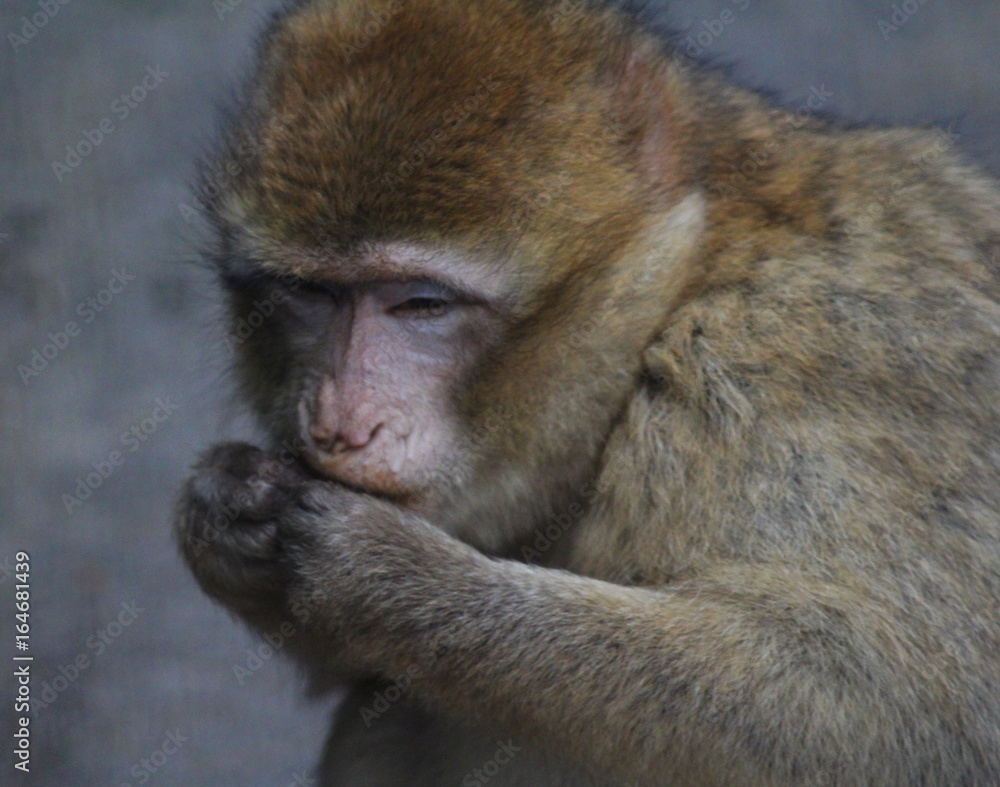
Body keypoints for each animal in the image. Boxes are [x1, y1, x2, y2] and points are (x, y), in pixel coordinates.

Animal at [174, 0, 1000, 784]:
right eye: (310, 293)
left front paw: (384, 576)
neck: (686, 278)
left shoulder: (795, 362)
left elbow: (890, 714)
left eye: (422, 305)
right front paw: (225, 509)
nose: (341, 424)